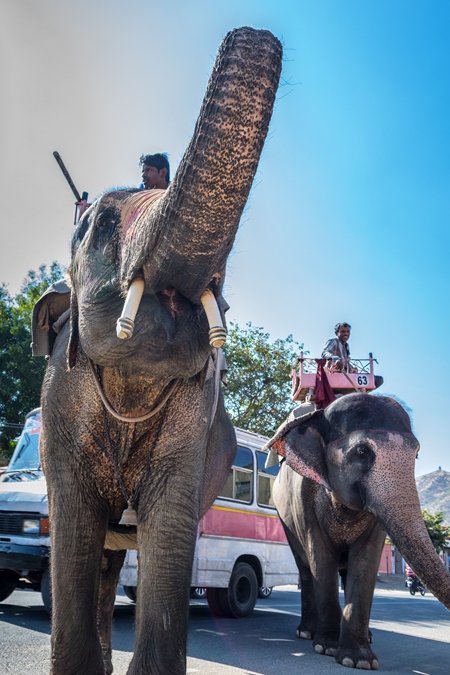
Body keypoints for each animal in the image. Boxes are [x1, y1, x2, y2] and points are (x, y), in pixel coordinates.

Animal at [37, 27, 282, 675]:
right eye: (98, 226)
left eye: (226, 266)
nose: (255, 33)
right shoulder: (62, 395)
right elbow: (73, 523)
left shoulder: (195, 415)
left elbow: (166, 528)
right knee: (105, 557)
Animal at [266, 396, 450, 672]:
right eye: (362, 452)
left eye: (416, 454)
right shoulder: (304, 500)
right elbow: (321, 559)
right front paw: (327, 647)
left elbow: (365, 562)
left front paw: (359, 660)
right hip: (285, 520)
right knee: (305, 569)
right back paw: (306, 633)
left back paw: (367, 636)